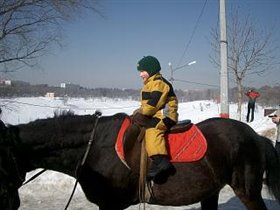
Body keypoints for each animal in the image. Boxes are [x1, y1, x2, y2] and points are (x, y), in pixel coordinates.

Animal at [0, 113, 280, 210]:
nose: (11, 204)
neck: (93, 147)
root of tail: (255, 136)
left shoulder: (111, 206)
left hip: (247, 191)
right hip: (210, 192)